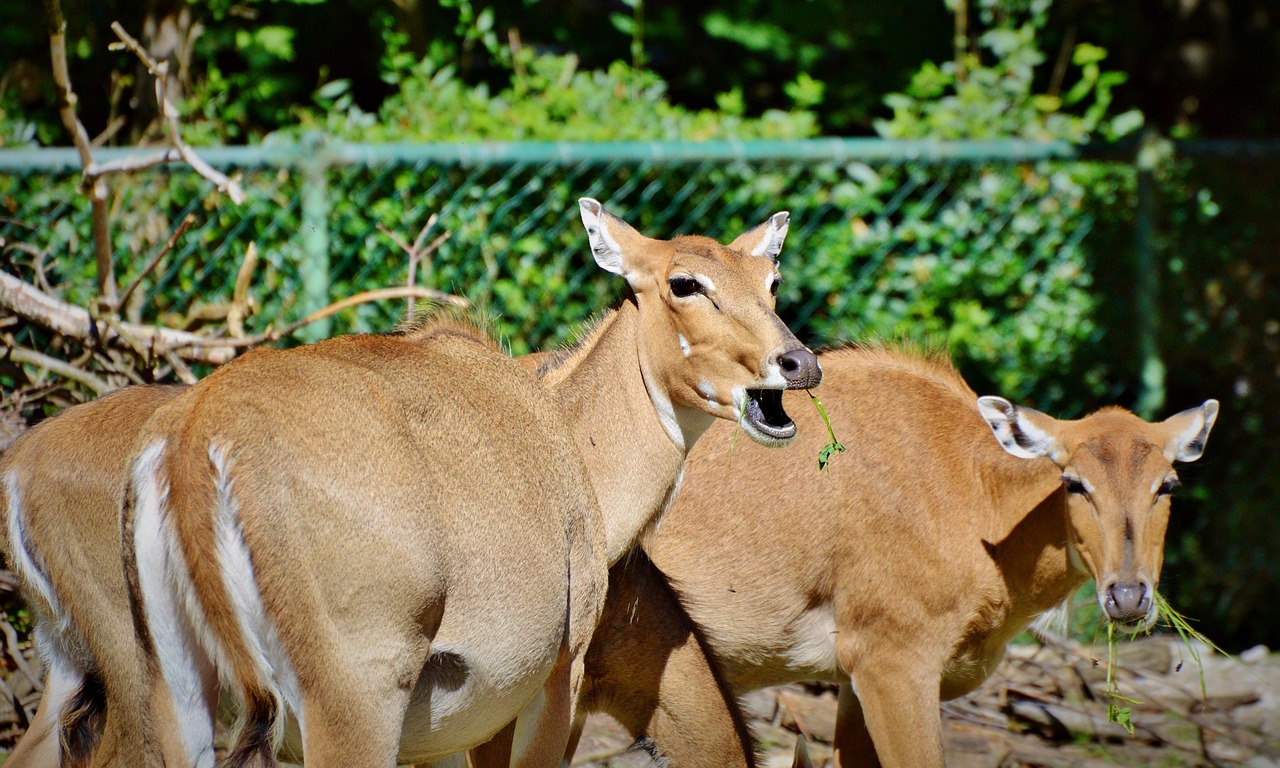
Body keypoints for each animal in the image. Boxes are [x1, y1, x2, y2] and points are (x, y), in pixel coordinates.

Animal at [117, 200, 819, 768]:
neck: (566, 433)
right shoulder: (557, 675)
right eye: (685, 282)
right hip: (356, 702)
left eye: (771, 281)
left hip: (177, 700)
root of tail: (198, 438)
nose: (798, 363)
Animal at [581, 345, 1218, 768]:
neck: (976, 501)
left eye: (1168, 484)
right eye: (1074, 482)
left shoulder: (850, 678)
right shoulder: (894, 661)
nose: (1128, 598)